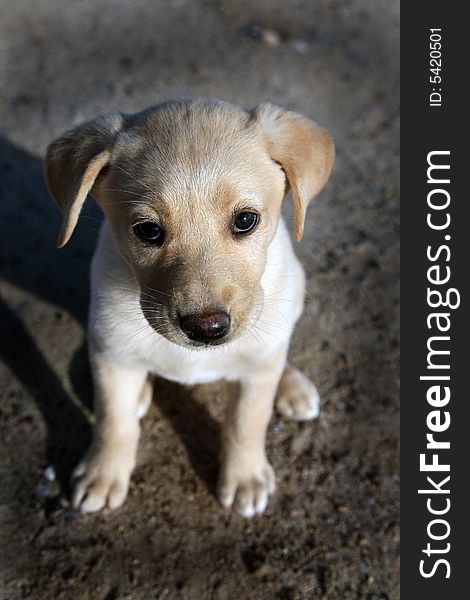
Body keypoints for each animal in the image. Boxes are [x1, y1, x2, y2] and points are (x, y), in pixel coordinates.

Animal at [42, 97, 332, 516]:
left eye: (246, 220)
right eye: (148, 230)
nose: (206, 328)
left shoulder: (256, 371)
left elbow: (247, 422)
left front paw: (245, 477)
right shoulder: (111, 355)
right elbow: (114, 421)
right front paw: (102, 473)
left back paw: (291, 385)